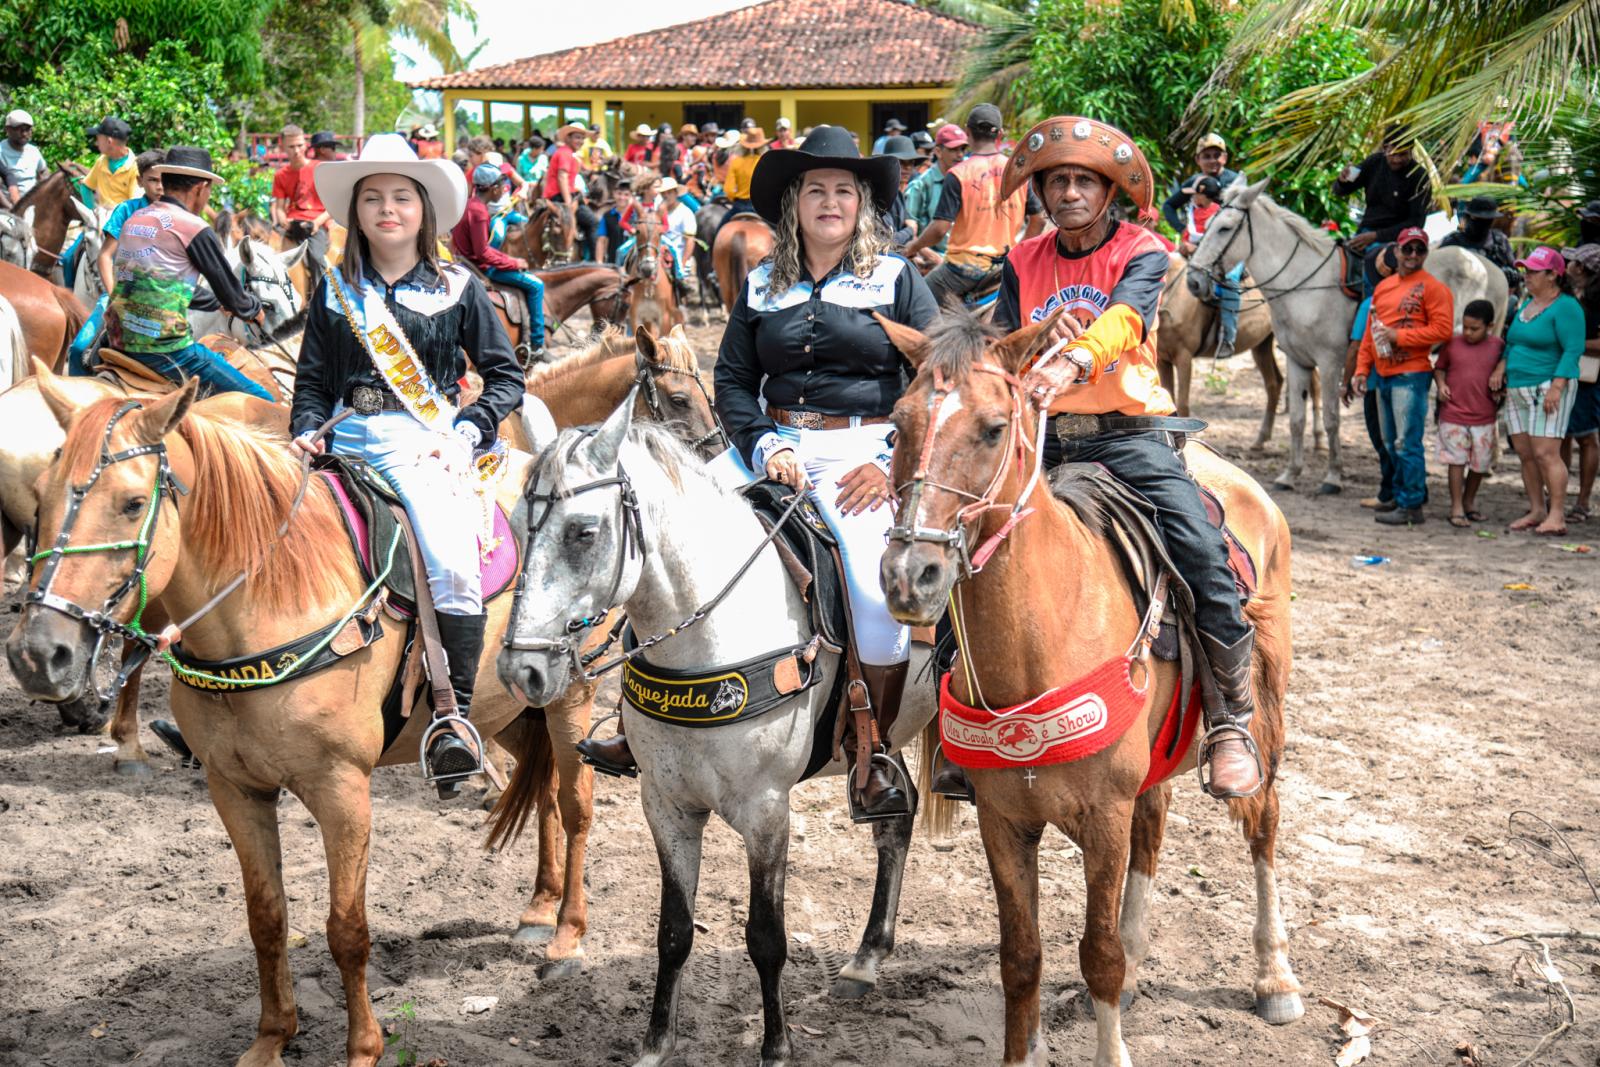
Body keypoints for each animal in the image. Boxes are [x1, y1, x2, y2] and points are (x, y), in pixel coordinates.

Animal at [6, 382, 595, 1067]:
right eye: (40, 497)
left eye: (131, 504)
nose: (38, 654)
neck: (266, 607)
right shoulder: (235, 789)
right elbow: (267, 918)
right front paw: (272, 1037)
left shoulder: (342, 790)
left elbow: (347, 928)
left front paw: (363, 1047)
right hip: (509, 706)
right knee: (542, 788)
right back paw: (538, 909)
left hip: (571, 694)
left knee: (574, 804)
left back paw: (565, 938)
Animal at [499, 399, 934, 1067]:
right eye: (520, 525)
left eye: (583, 532)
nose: (521, 670)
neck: (708, 635)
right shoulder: (666, 804)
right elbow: (674, 931)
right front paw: (656, 1043)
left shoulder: (766, 810)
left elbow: (766, 936)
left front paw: (776, 1048)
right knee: (896, 817)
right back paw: (866, 957)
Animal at [876, 316, 1299, 1067]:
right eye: (898, 424)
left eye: (993, 428)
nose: (908, 575)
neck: (1043, 641)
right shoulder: (1003, 819)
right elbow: (1022, 957)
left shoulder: (1102, 817)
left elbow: (1097, 954)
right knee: (1154, 829)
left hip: (1263, 712)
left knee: (1264, 822)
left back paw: (1274, 973)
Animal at [1152, 254, 1286, 451]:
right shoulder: (1163, 360)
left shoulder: (1184, 356)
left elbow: (1182, 404)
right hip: (1262, 344)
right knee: (1274, 383)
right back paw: (1260, 440)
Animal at [1190, 180, 1510, 495]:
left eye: (1225, 228)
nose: (1193, 281)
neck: (1303, 283)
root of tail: (1488, 266)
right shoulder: (1297, 360)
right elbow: (1296, 420)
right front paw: (1290, 474)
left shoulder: (1330, 361)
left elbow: (1331, 419)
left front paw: (1333, 476)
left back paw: (1489, 462)